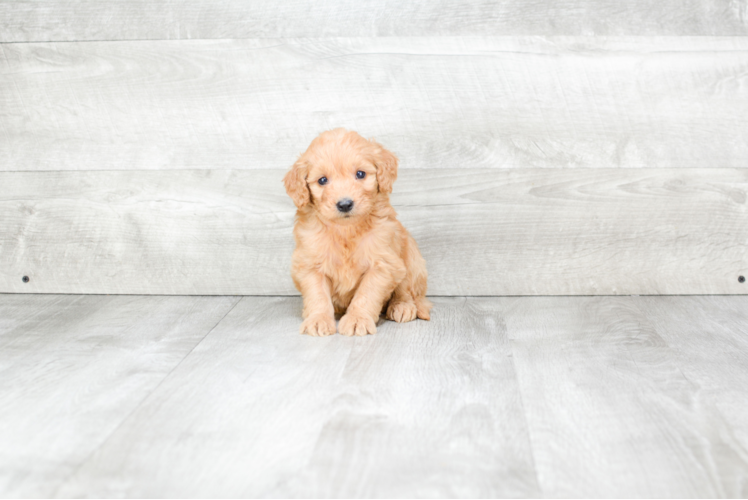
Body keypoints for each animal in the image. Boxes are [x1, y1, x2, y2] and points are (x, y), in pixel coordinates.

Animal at [282, 129, 432, 336]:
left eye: (360, 174)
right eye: (322, 180)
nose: (345, 204)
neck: (346, 230)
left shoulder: (382, 263)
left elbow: (366, 294)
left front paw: (357, 319)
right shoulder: (310, 264)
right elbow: (318, 295)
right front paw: (318, 320)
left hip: (410, 258)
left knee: (409, 292)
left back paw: (402, 307)